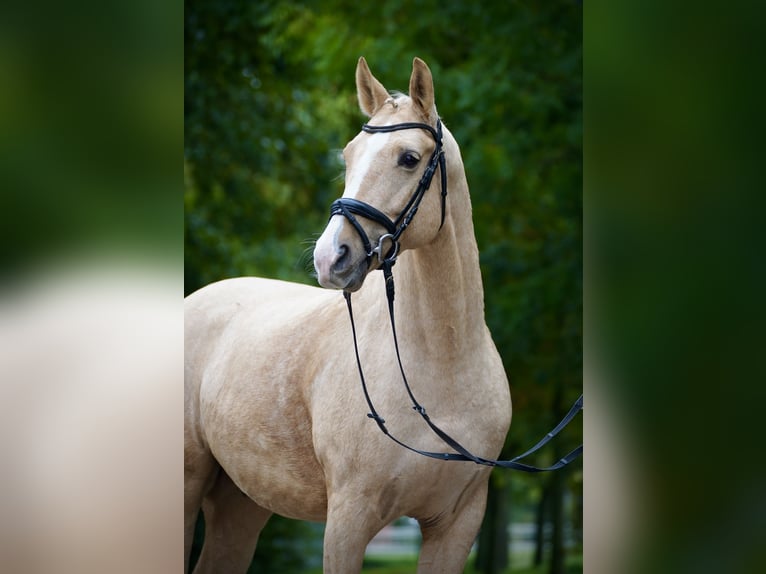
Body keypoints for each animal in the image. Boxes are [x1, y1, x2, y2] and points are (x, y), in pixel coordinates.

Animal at [184, 56, 512, 573]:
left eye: (408, 158)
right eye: (349, 155)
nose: (330, 257)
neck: (443, 365)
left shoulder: (457, 526)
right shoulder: (348, 518)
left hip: (240, 503)